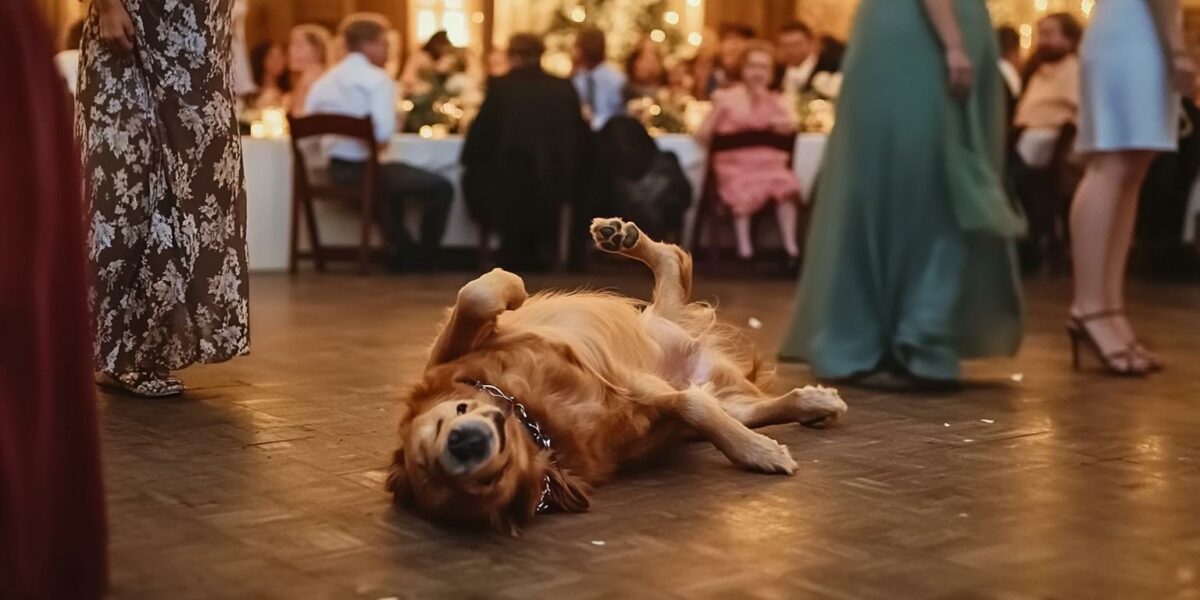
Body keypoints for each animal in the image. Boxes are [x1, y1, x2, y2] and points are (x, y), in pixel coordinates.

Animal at [384, 218, 844, 532]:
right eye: (485, 481)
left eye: (448, 417)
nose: (464, 443)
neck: (536, 419)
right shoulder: (651, 403)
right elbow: (695, 408)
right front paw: (759, 452)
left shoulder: (451, 352)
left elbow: (475, 295)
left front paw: (508, 282)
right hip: (724, 393)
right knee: (747, 405)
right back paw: (812, 403)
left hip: (661, 321)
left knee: (672, 261)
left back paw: (620, 236)